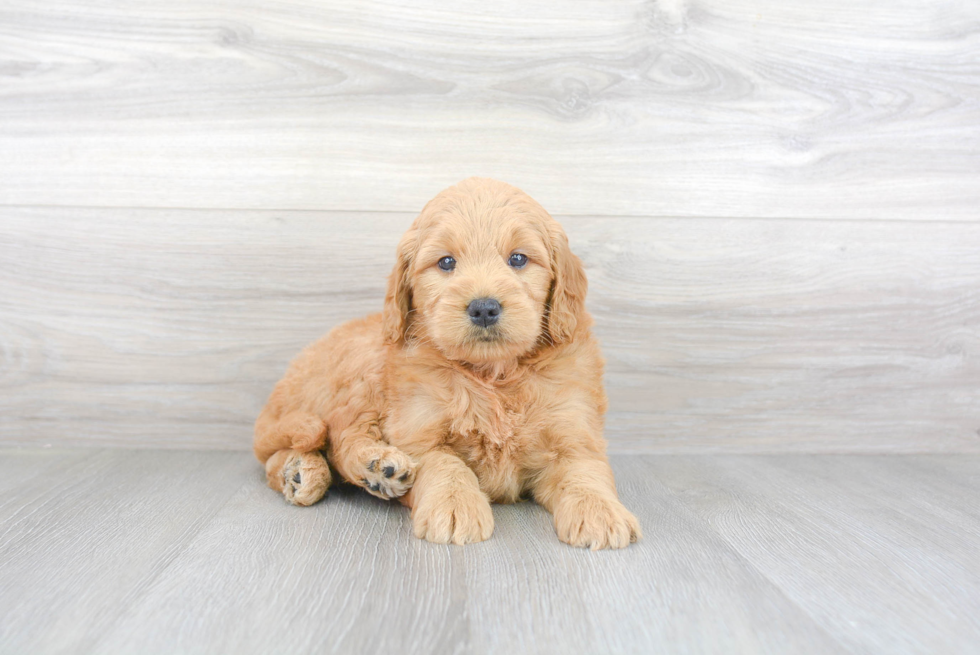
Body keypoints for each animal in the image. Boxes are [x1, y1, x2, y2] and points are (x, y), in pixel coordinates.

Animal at [251, 177, 644, 552]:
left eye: (518, 259)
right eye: (446, 262)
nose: (484, 307)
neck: (493, 374)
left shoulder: (575, 432)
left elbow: (585, 472)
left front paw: (600, 514)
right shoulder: (418, 431)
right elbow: (446, 465)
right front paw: (454, 508)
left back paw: (301, 471)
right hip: (361, 370)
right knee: (336, 434)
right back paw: (372, 467)